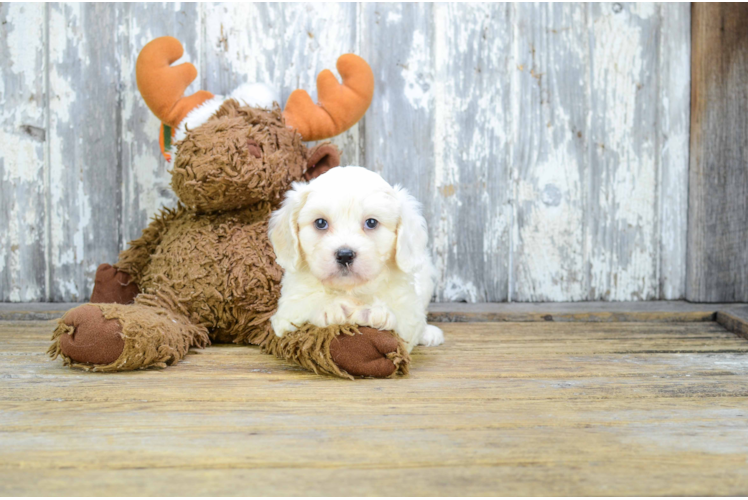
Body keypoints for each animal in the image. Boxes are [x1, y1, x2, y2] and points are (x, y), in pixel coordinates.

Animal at [268, 166, 444, 350]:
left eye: (371, 223)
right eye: (321, 223)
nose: (345, 255)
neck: (352, 290)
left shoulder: (409, 308)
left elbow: (405, 322)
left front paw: (375, 311)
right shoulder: (286, 311)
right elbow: (303, 307)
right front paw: (331, 307)